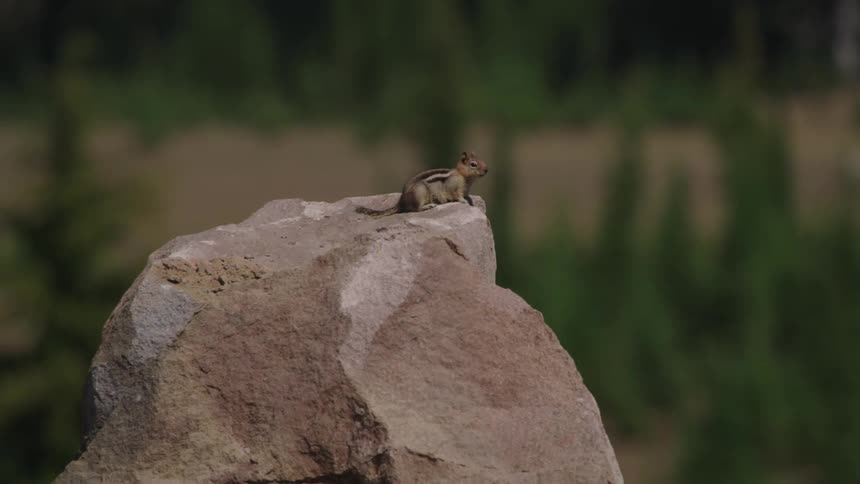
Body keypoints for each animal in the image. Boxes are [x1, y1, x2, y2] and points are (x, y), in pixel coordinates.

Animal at [356, 151, 489, 217]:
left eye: (482, 160)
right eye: (473, 164)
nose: (487, 170)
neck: (462, 175)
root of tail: (401, 202)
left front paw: (470, 199)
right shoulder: (454, 187)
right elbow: (457, 195)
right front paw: (464, 201)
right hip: (420, 193)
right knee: (415, 209)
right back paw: (428, 206)